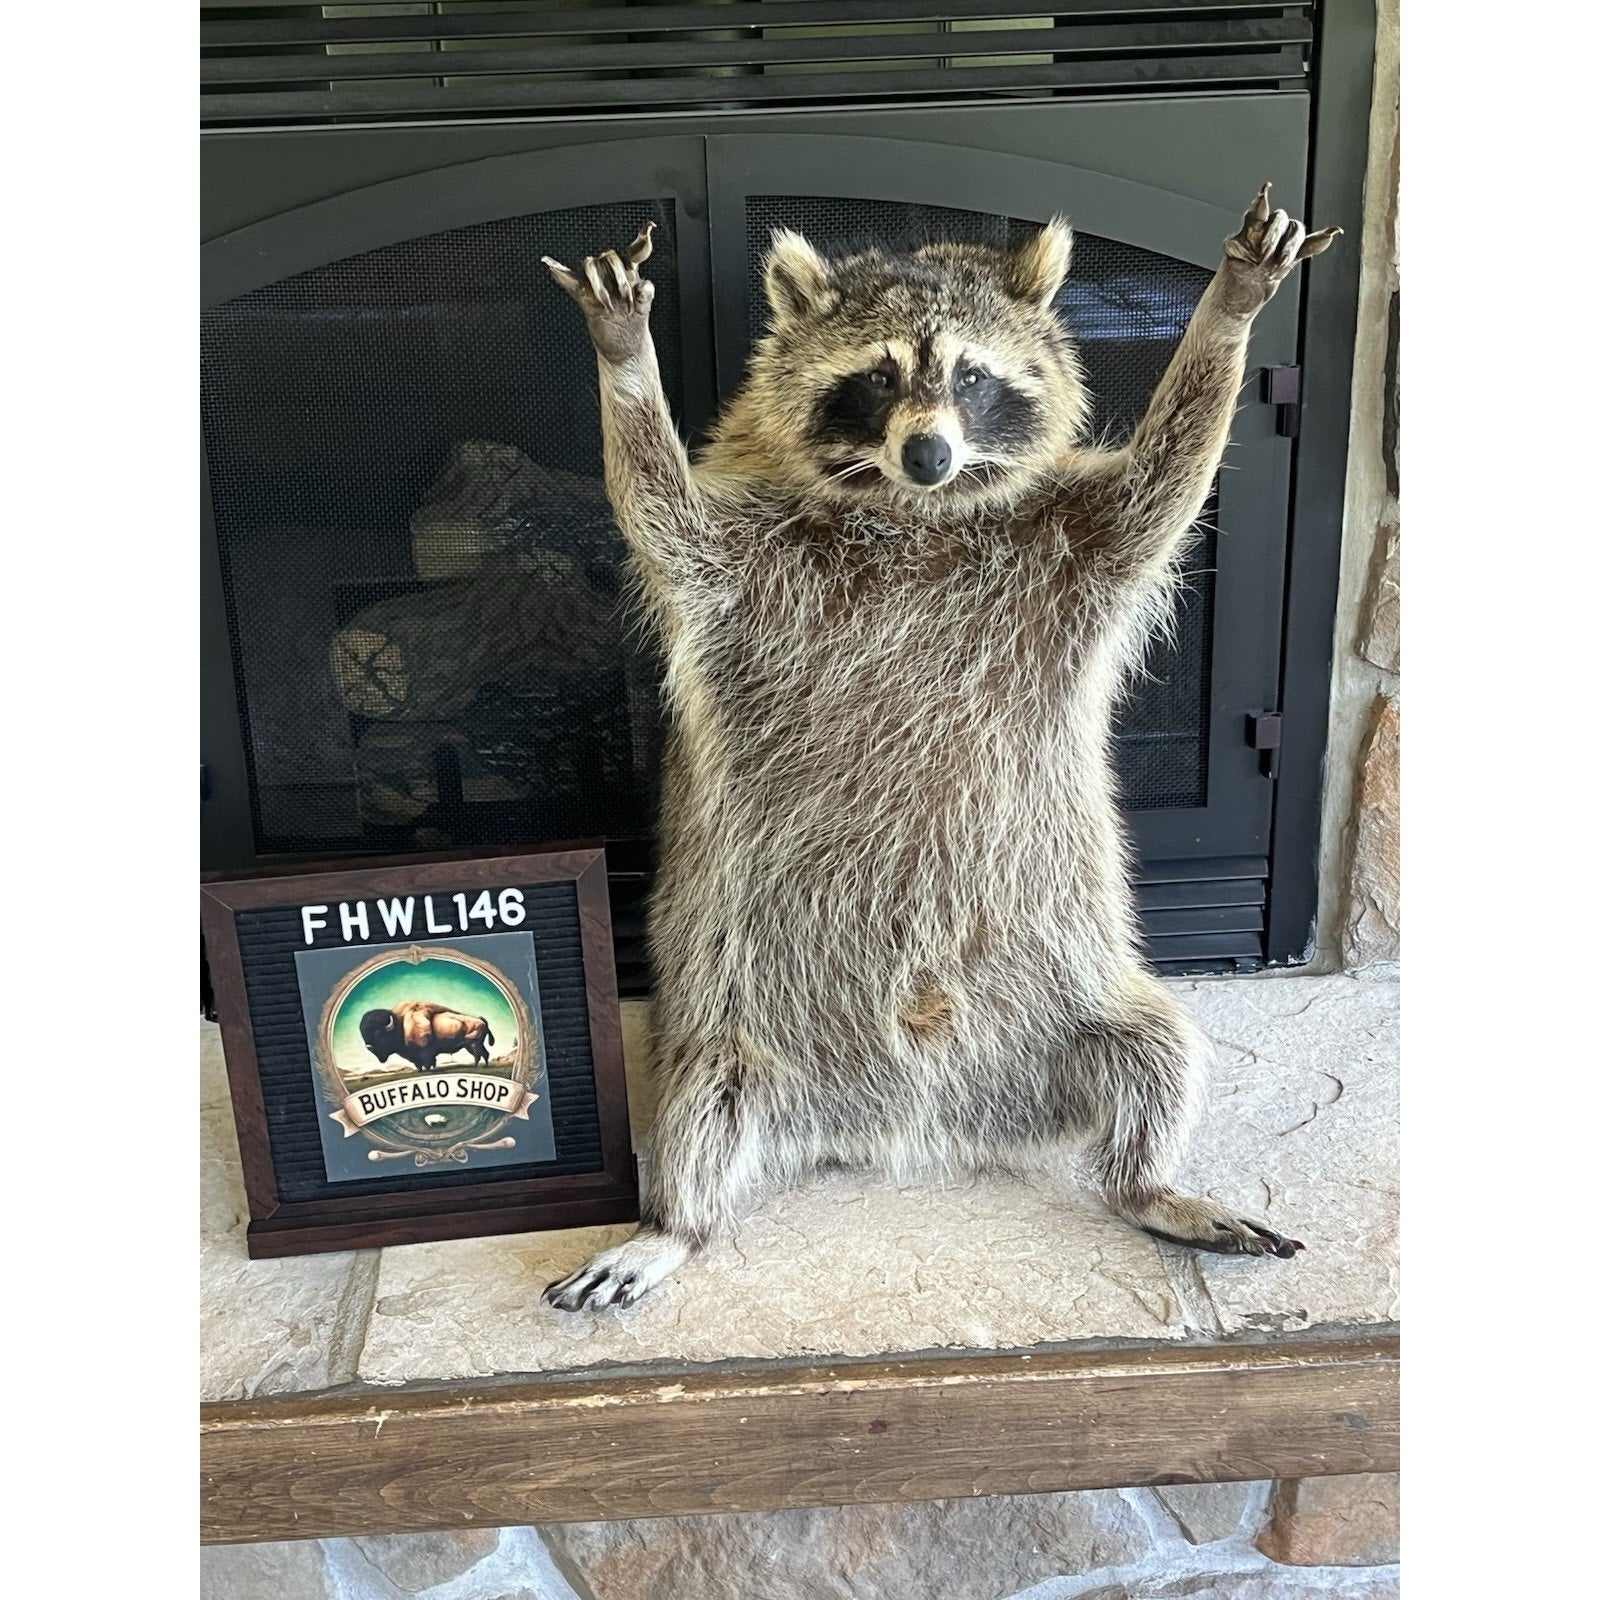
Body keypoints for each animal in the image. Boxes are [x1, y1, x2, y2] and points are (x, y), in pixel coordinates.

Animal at [541, 187, 1338, 1311]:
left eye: (970, 376)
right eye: (877, 377)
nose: (929, 454)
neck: (911, 510)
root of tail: (913, 1126)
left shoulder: (1077, 544)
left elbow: (1166, 480)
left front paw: (1226, 313)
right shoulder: (737, 563)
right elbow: (661, 510)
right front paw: (625, 359)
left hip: (1089, 1004)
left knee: (1158, 1050)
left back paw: (1149, 1180)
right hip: (728, 1030)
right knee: (699, 1102)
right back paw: (673, 1224)